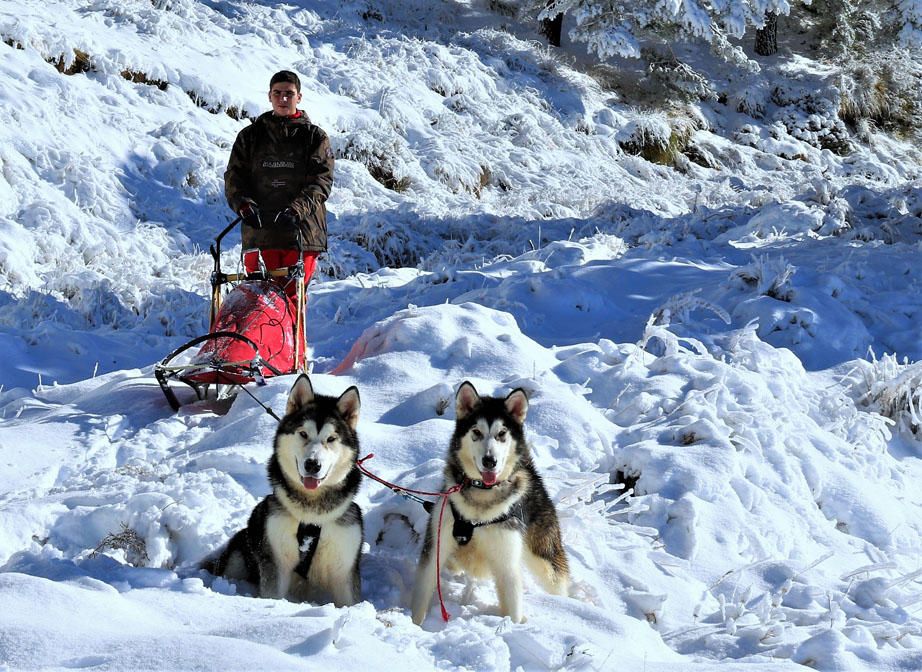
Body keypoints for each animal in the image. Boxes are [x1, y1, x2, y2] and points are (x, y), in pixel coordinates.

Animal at [201, 376, 362, 608]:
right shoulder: (275, 559)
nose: (312, 464)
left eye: (331, 439)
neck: (312, 515)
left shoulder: (344, 563)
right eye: (303, 434)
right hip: (240, 555)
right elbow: (273, 593)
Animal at [410, 380, 568, 624]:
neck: (480, 500)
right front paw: (414, 624)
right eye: (477, 432)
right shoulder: (436, 544)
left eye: (501, 433)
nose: (489, 461)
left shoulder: (506, 560)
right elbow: (423, 591)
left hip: (544, 556)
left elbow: (512, 603)